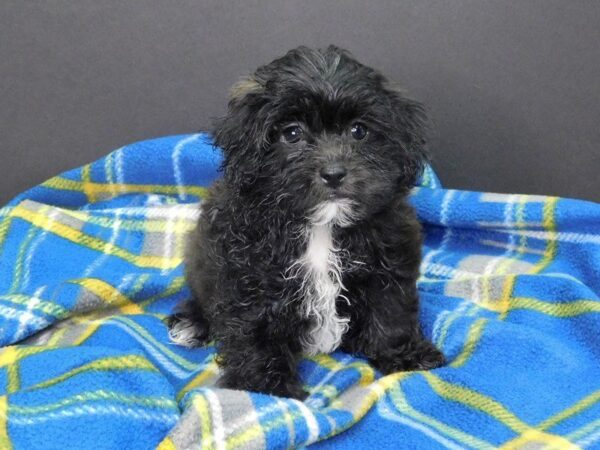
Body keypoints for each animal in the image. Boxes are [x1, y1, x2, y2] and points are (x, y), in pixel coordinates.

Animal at [170, 44, 446, 398]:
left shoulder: (389, 259)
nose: (334, 173)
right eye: (292, 133)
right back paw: (191, 323)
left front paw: (405, 353)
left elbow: (390, 309)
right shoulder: (248, 276)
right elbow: (255, 328)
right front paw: (265, 386)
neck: (321, 226)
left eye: (359, 131)